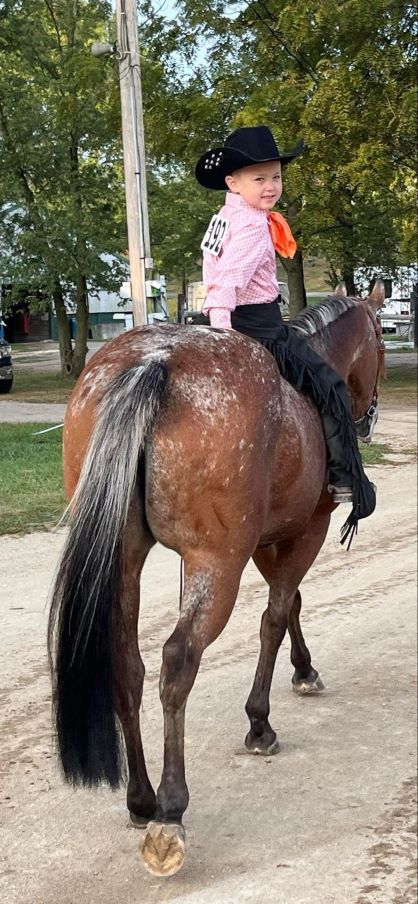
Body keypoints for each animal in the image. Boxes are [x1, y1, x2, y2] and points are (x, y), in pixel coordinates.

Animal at [48, 280, 386, 876]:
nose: (370, 415)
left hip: (125, 559)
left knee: (128, 665)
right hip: (216, 561)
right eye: (381, 346)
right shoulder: (307, 529)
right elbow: (276, 614)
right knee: (178, 659)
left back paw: (141, 799)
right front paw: (260, 721)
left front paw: (303, 669)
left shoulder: (267, 538)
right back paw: (169, 811)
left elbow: (290, 605)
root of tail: (154, 362)